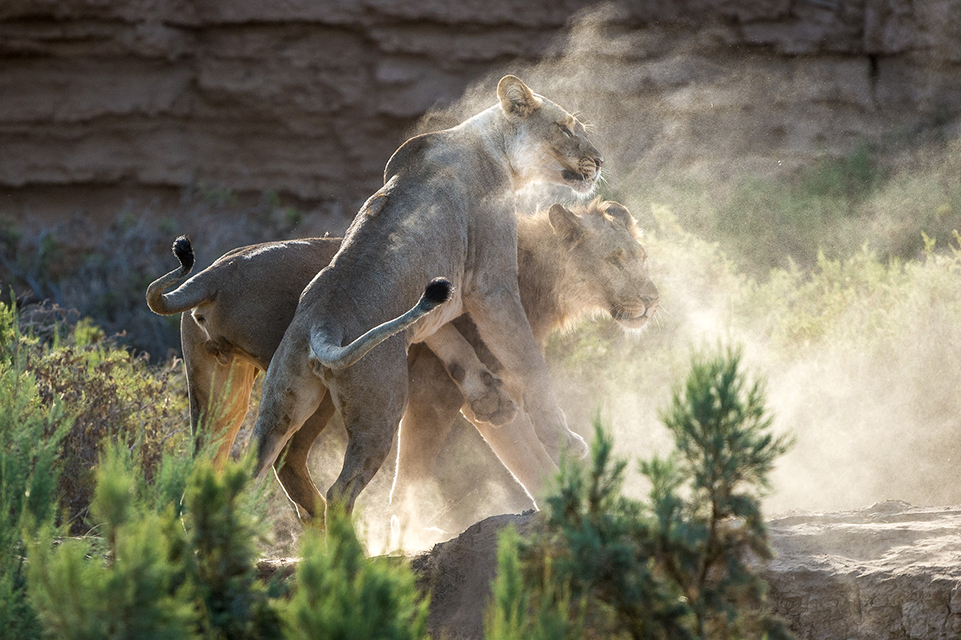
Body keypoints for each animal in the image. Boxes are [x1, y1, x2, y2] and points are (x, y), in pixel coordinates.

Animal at [249, 75, 602, 520]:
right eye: (566, 128)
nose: (600, 161)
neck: (492, 146)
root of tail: (321, 324)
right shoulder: (491, 284)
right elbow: (530, 364)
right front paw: (565, 439)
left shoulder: (436, 299)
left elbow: (450, 342)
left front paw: (491, 401)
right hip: (380, 407)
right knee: (340, 491)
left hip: (280, 404)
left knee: (239, 470)